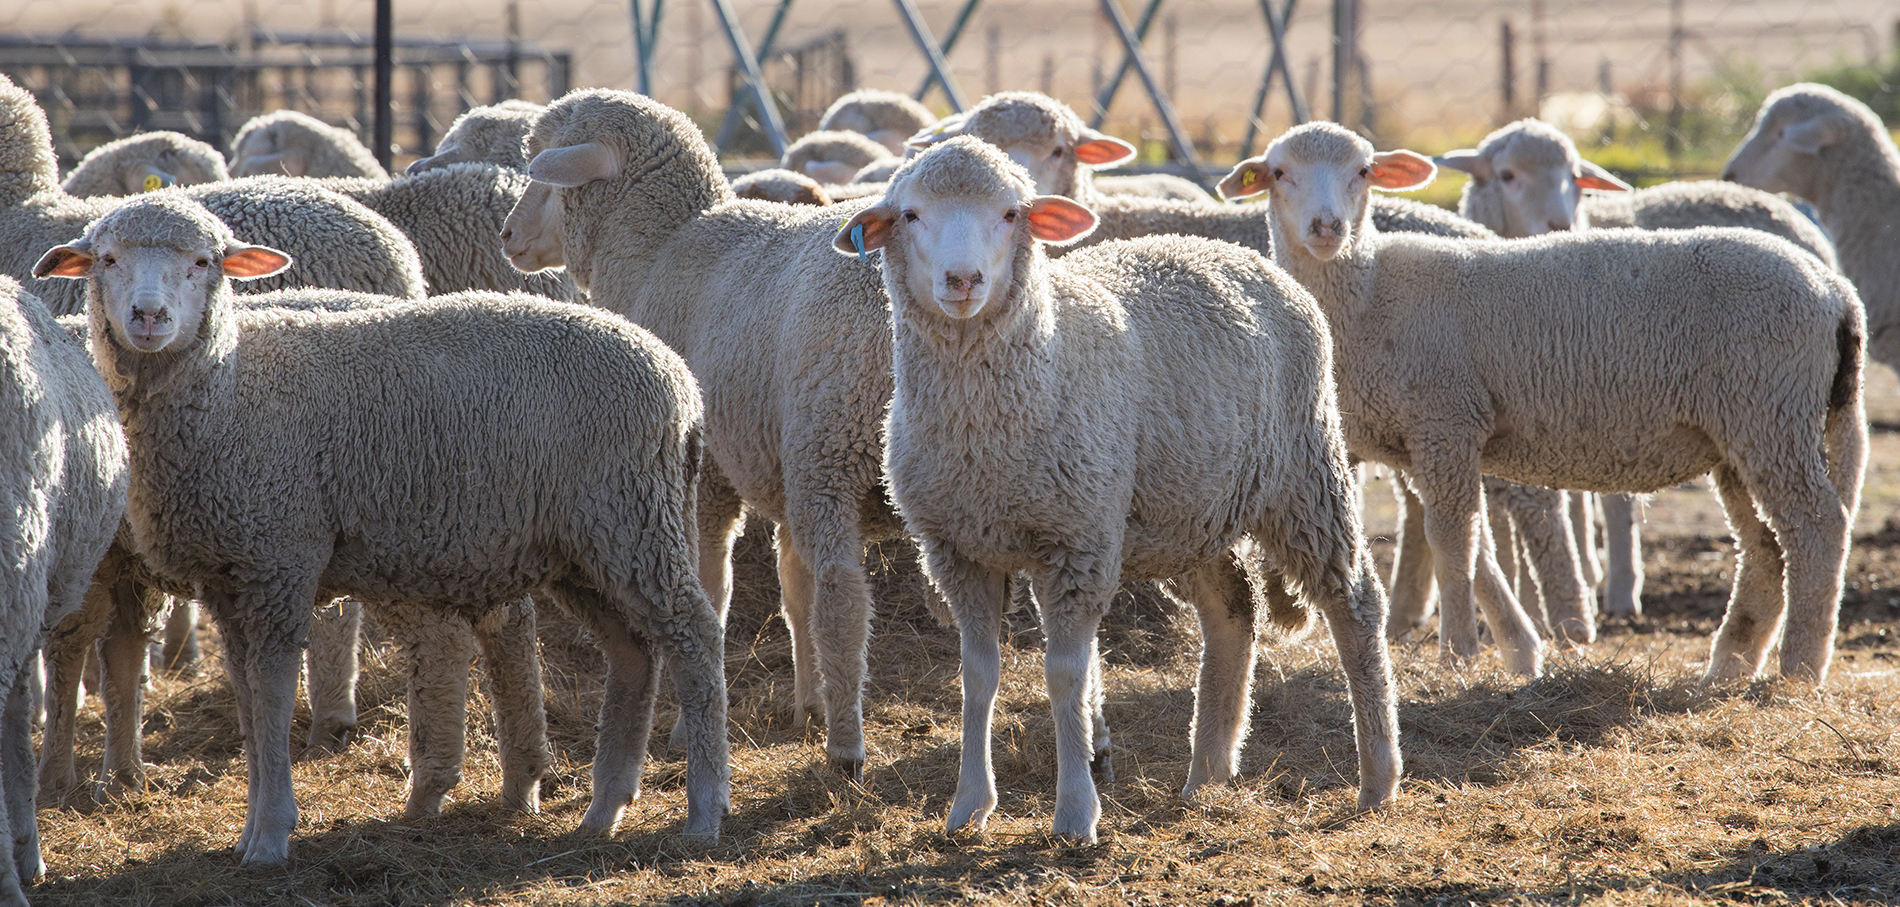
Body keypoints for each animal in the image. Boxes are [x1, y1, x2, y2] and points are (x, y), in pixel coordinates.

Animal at [36, 192, 729, 863]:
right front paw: (251, 829)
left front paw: (271, 836)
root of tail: (679, 379)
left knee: (692, 634)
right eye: (107, 260)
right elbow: (246, 696)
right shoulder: (229, 577)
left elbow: (272, 691)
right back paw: (604, 808)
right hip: (585, 546)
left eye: (204, 262)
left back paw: (704, 808)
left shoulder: (282, 557)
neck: (229, 389)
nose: (149, 317)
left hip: (629, 515)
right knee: (633, 651)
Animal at [504, 88, 916, 778]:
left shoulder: (708, 477)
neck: (661, 250)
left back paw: (847, 748)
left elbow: (715, 589)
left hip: (831, 449)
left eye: (546, 170)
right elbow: (792, 587)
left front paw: (686, 726)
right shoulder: (774, 468)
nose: (508, 237)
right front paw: (807, 703)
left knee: (843, 600)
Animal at [831, 136, 1400, 842]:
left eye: (1012, 213)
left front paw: (1076, 813)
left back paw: (1377, 777)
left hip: (1304, 474)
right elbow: (979, 676)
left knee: (1356, 604)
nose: (963, 281)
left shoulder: (1077, 542)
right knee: (1233, 607)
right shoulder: (956, 550)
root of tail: (1233, 252)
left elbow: (1065, 676)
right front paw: (968, 807)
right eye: (910, 215)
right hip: (1188, 509)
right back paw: (1208, 771)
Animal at [1220, 121, 1866, 682]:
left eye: (1363, 171)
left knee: (1818, 527)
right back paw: (1731, 663)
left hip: (1772, 415)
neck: (1368, 294)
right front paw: (1514, 651)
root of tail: (1836, 291)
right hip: (1740, 435)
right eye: (1279, 173)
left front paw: (1458, 655)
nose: (1326, 227)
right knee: (1765, 548)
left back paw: (1799, 668)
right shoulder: (1423, 442)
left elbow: (1453, 542)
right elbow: (1473, 547)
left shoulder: (1446, 421)